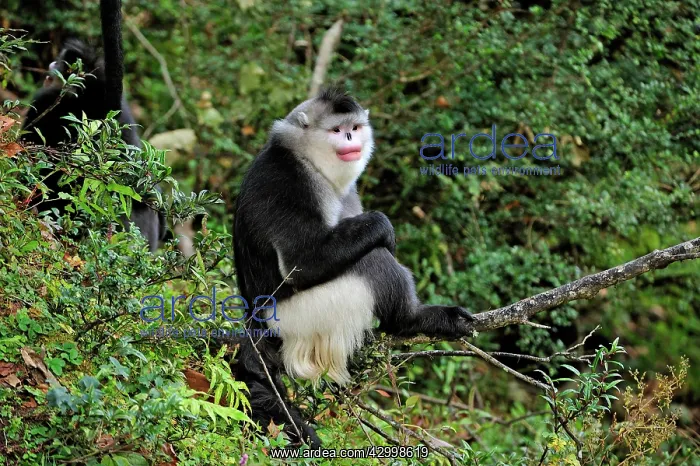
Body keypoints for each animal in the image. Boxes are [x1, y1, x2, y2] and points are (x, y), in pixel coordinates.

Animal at [232, 88, 474, 447]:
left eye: (355, 127)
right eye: (336, 130)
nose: (349, 138)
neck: (309, 161)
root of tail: (259, 325)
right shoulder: (288, 181)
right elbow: (302, 262)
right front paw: (382, 226)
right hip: (308, 318)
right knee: (372, 261)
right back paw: (413, 319)